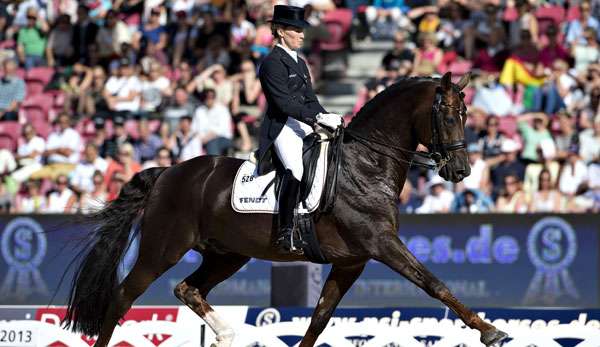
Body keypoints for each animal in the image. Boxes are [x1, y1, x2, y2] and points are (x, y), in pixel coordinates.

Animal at [64, 72, 506, 346]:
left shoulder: (352, 261)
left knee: (187, 288)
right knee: (124, 295)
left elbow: (319, 319)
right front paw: (490, 331)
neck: (365, 164)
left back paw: (226, 334)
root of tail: (169, 171)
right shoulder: (381, 244)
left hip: (227, 254)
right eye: (446, 115)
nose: (460, 170)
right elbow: (434, 283)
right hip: (163, 249)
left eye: (466, 114)